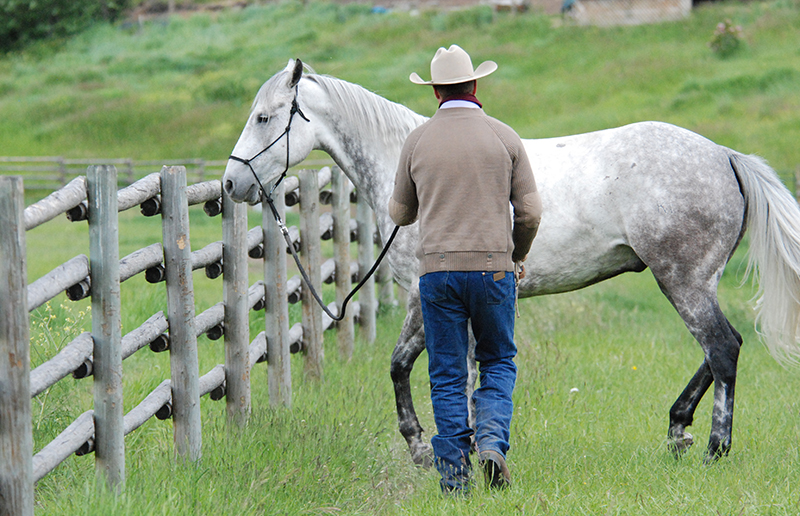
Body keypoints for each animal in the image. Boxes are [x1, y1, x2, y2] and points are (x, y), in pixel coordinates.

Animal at [222, 59, 800, 465]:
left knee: (722, 348)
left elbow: (440, 375)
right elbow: (408, 365)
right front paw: (434, 447)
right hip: (695, 281)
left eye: (264, 117)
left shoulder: (431, 299)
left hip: (682, 280)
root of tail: (724, 155)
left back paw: (713, 448)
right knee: (720, 348)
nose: (231, 182)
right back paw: (678, 429)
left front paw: (448, 450)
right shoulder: (431, 302)